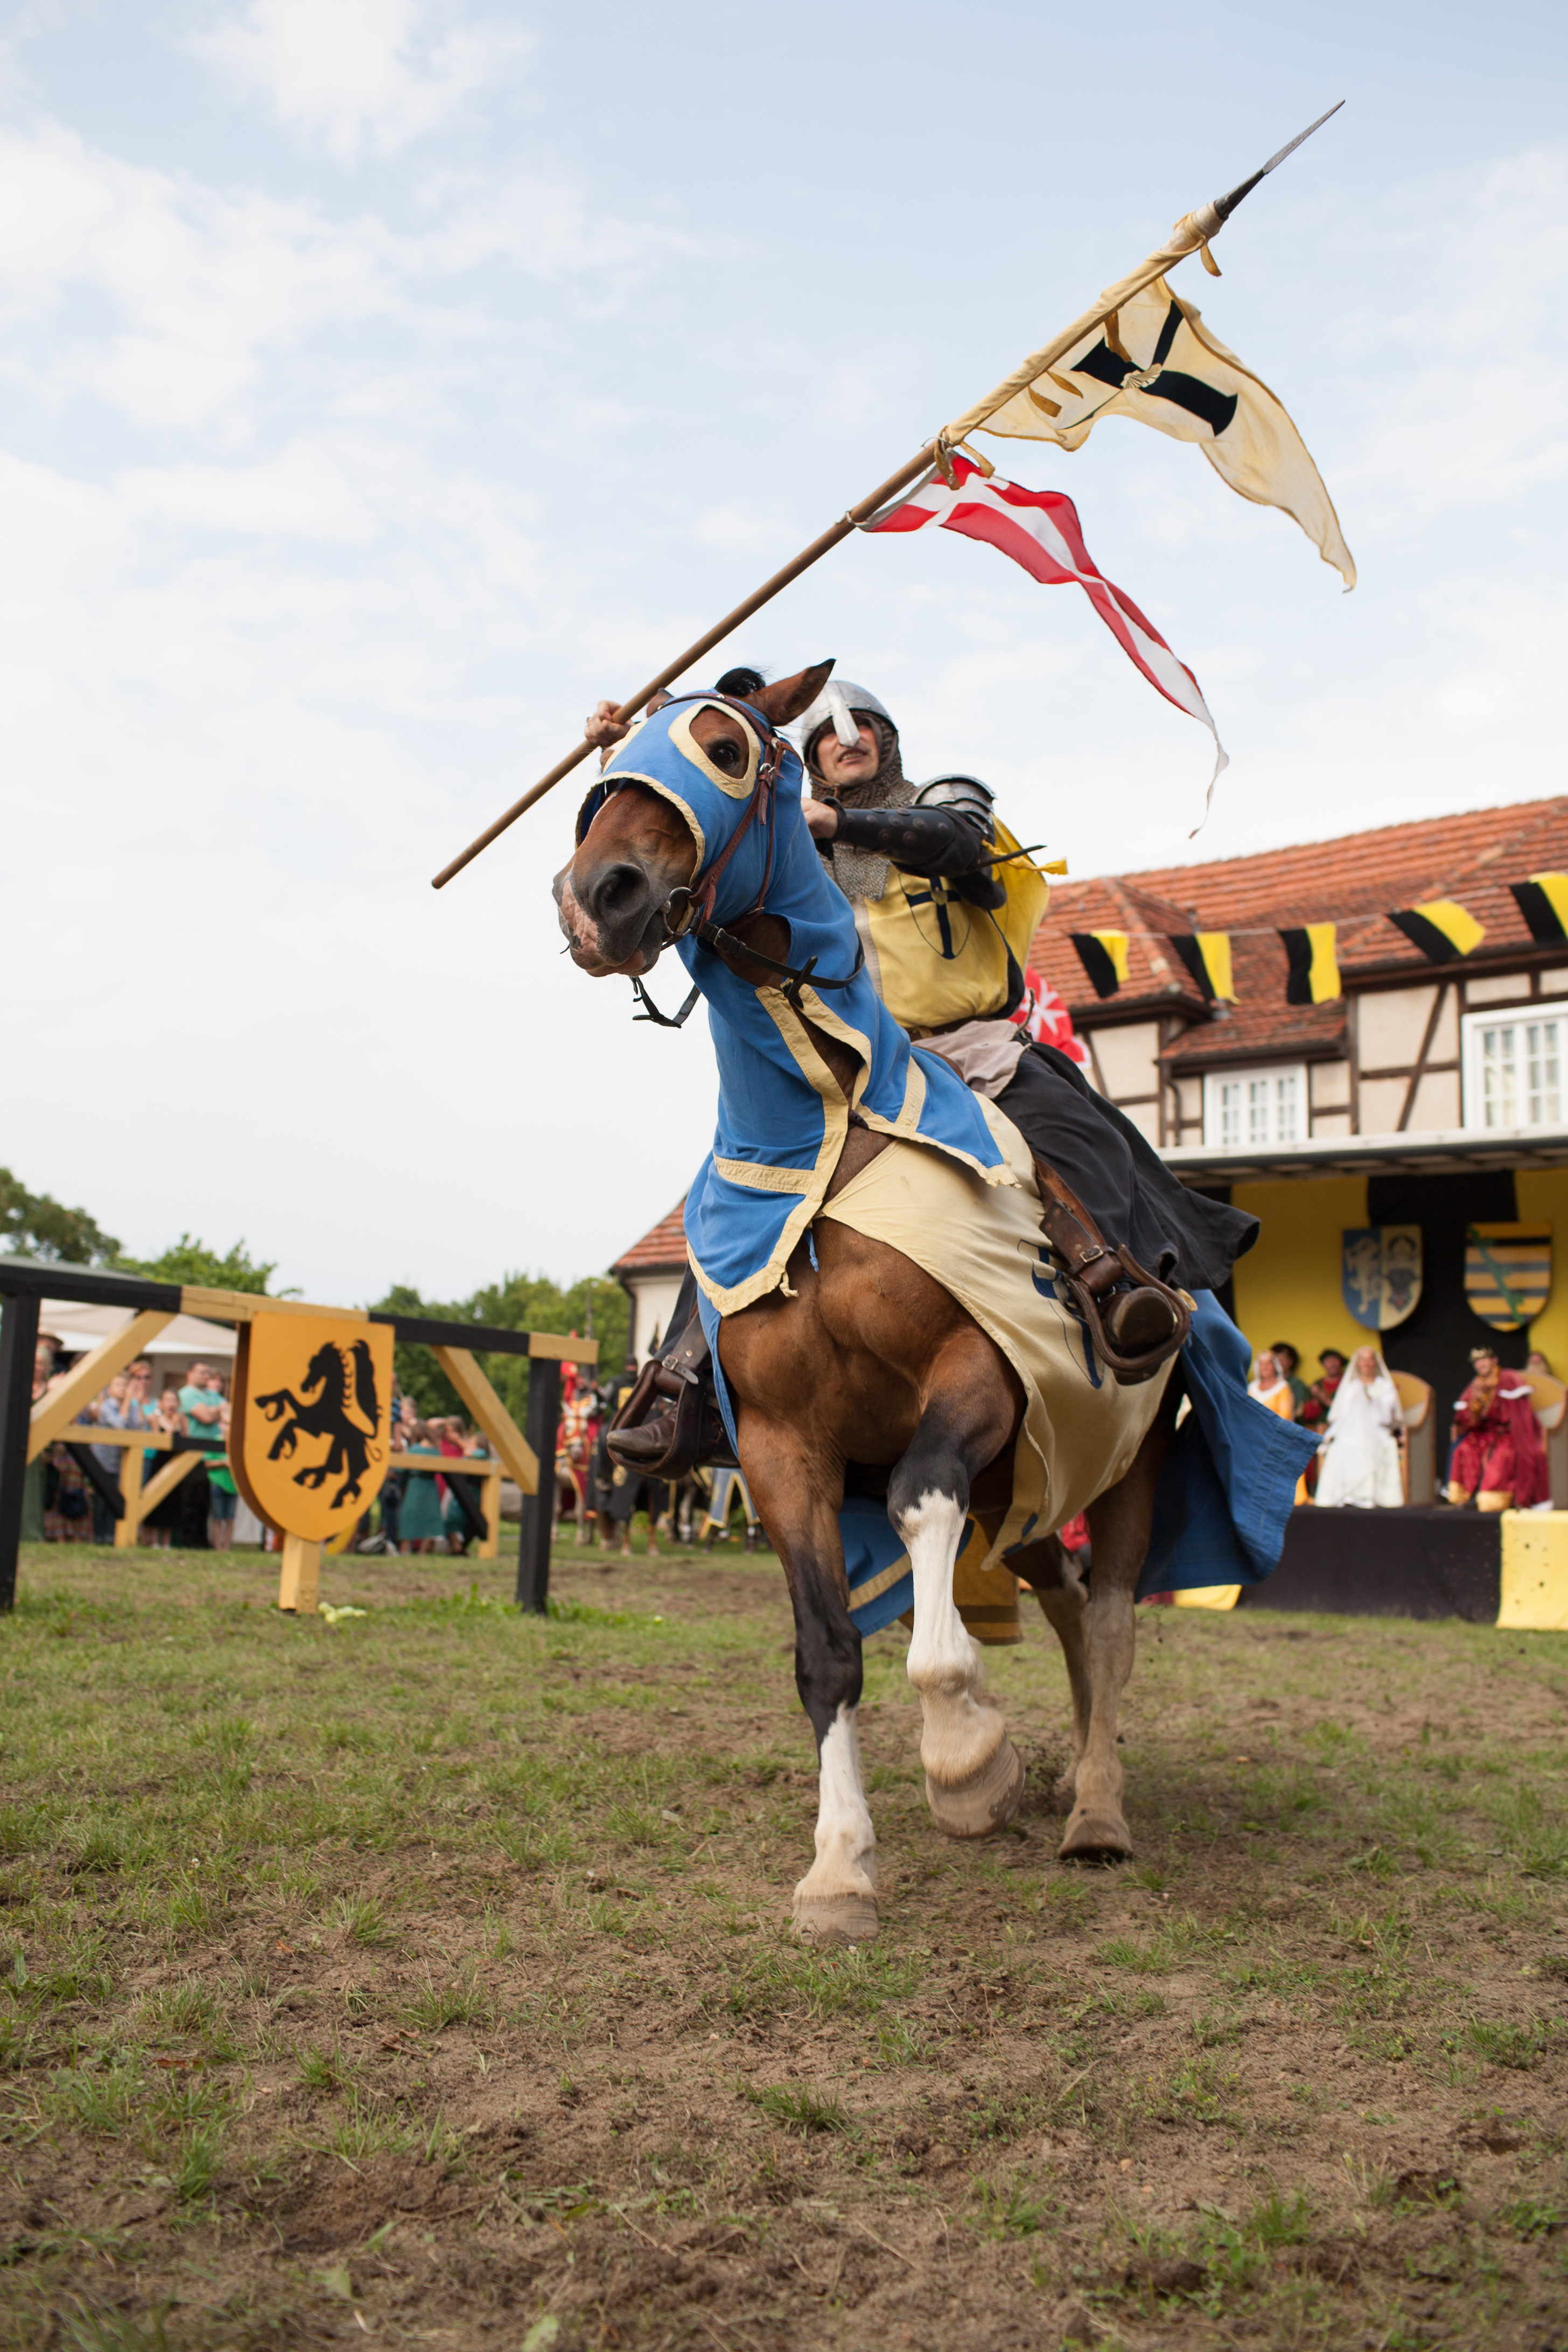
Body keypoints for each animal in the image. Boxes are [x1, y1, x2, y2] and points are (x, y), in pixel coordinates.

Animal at [554, 665, 1183, 1941]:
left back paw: (1096, 1808)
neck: (832, 1133)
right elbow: (826, 1652)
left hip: (1122, 1455)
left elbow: (916, 1513)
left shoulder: (984, 1378)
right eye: (611, 767)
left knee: (1107, 1615)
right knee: (1062, 1601)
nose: (597, 896)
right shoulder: (783, 1448)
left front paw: (967, 1758)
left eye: (727, 748)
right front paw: (840, 1868)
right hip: (1030, 1488)